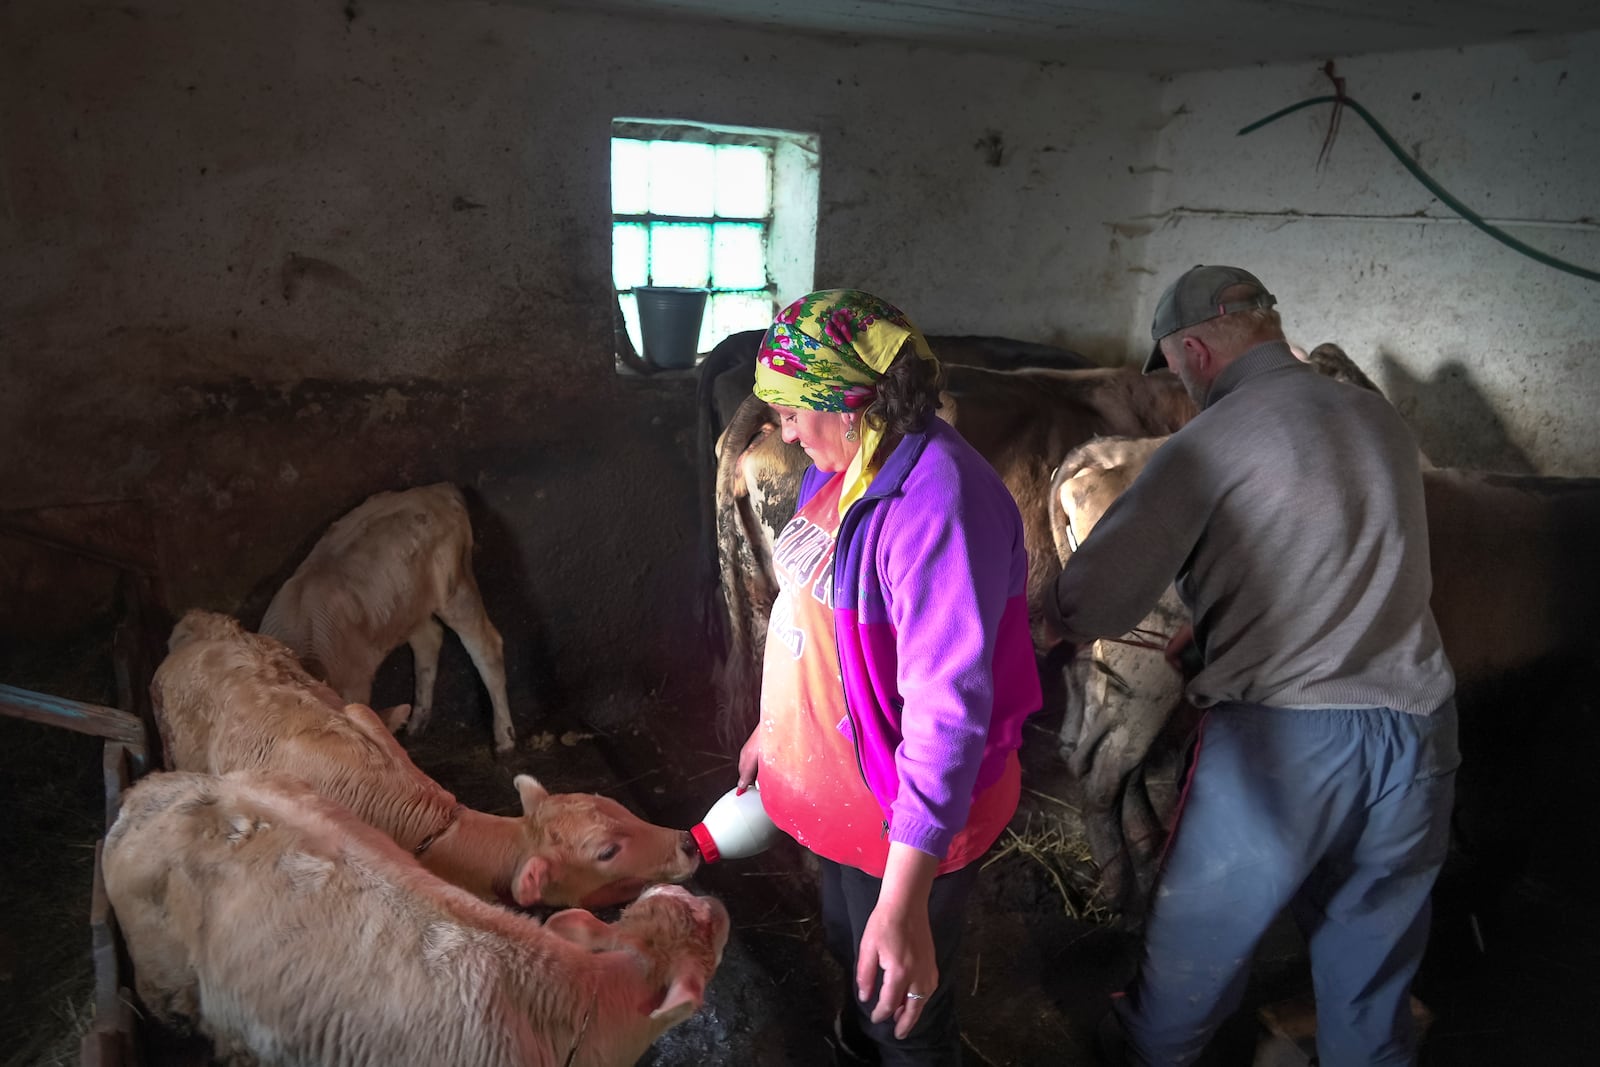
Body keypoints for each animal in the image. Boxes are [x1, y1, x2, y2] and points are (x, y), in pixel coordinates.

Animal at [259, 483, 512, 751]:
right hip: (408, 605)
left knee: (487, 646)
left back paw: (504, 738)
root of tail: (438, 489)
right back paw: (417, 723)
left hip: (456, 586)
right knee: (429, 640)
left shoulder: (357, 685)